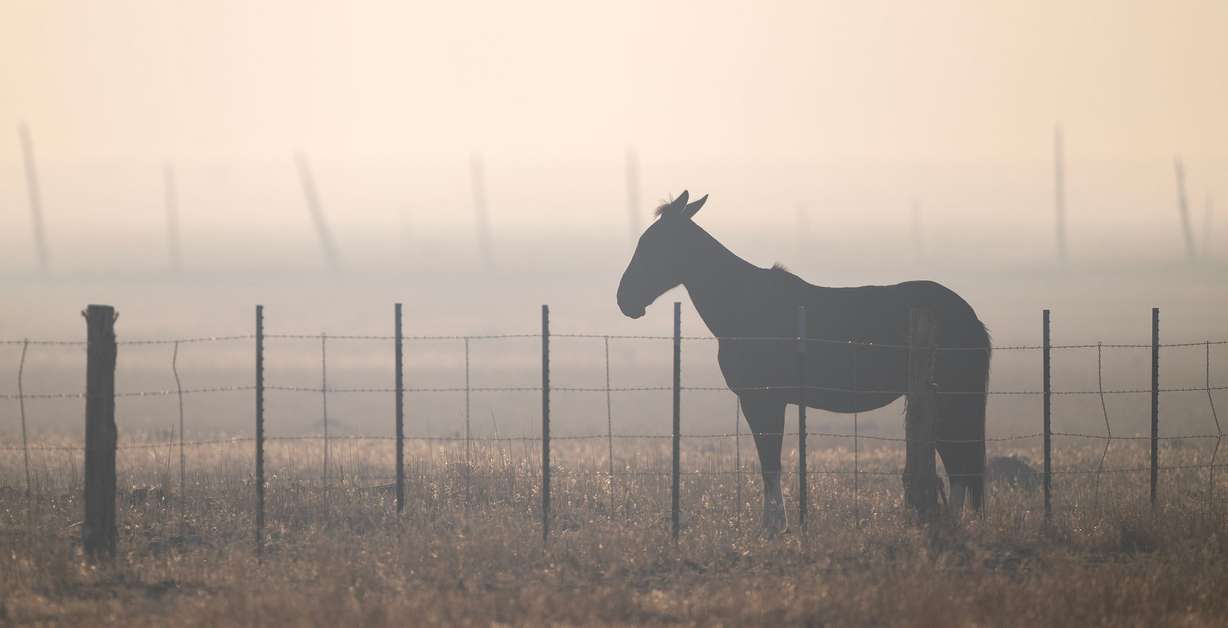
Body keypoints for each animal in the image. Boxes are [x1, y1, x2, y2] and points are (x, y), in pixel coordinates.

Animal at [616, 191, 991, 531]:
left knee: (960, 463)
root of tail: (969, 315)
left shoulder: (763, 400)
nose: (624, 300)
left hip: (951, 400)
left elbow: (770, 462)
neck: (745, 305)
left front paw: (773, 527)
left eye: (653, 244)